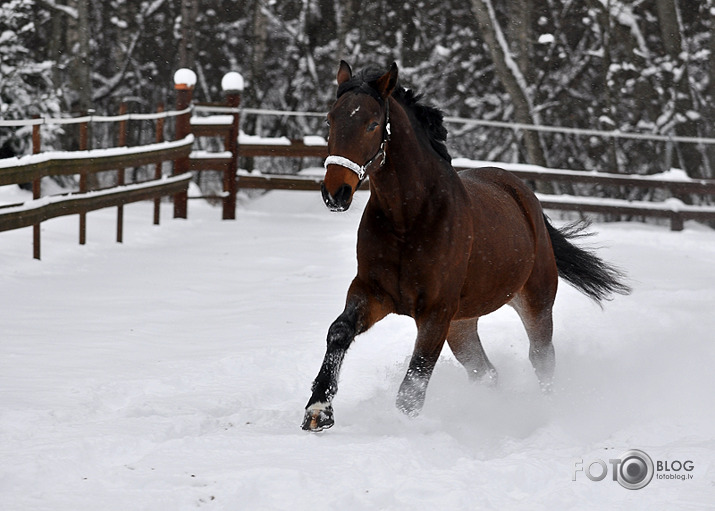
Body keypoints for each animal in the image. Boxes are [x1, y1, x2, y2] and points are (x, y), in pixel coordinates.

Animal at [300, 62, 628, 434]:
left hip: (535, 303)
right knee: (486, 373)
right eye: (330, 119)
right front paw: (318, 411)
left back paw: (545, 413)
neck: (407, 220)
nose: (335, 193)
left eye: (371, 124)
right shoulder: (373, 292)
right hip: (462, 324)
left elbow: (414, 382)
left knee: (542, 360)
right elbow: (339, 332)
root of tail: (523, 196)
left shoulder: (436, 312)